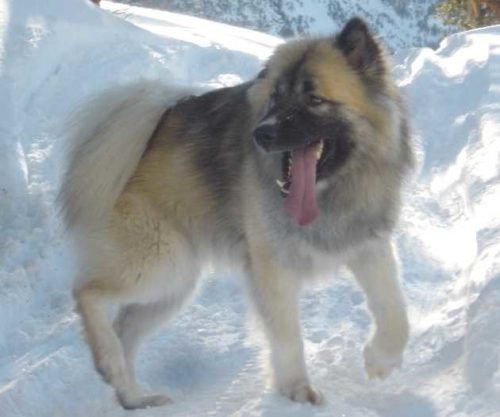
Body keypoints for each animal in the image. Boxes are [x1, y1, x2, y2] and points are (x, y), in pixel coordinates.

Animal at [59, 17, 414, 410]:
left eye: (314, 99)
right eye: (275, 97)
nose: (262, 133)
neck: (332, 193)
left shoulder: (368, 246)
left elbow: (396, 312)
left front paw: (382, 360)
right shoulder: (271, 267)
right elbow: (287, 336)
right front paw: (296, 389)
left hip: (174, 284)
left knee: (124, 329)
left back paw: (133, 395)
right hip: (158, 262)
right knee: (87, 293)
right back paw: (108, 360)